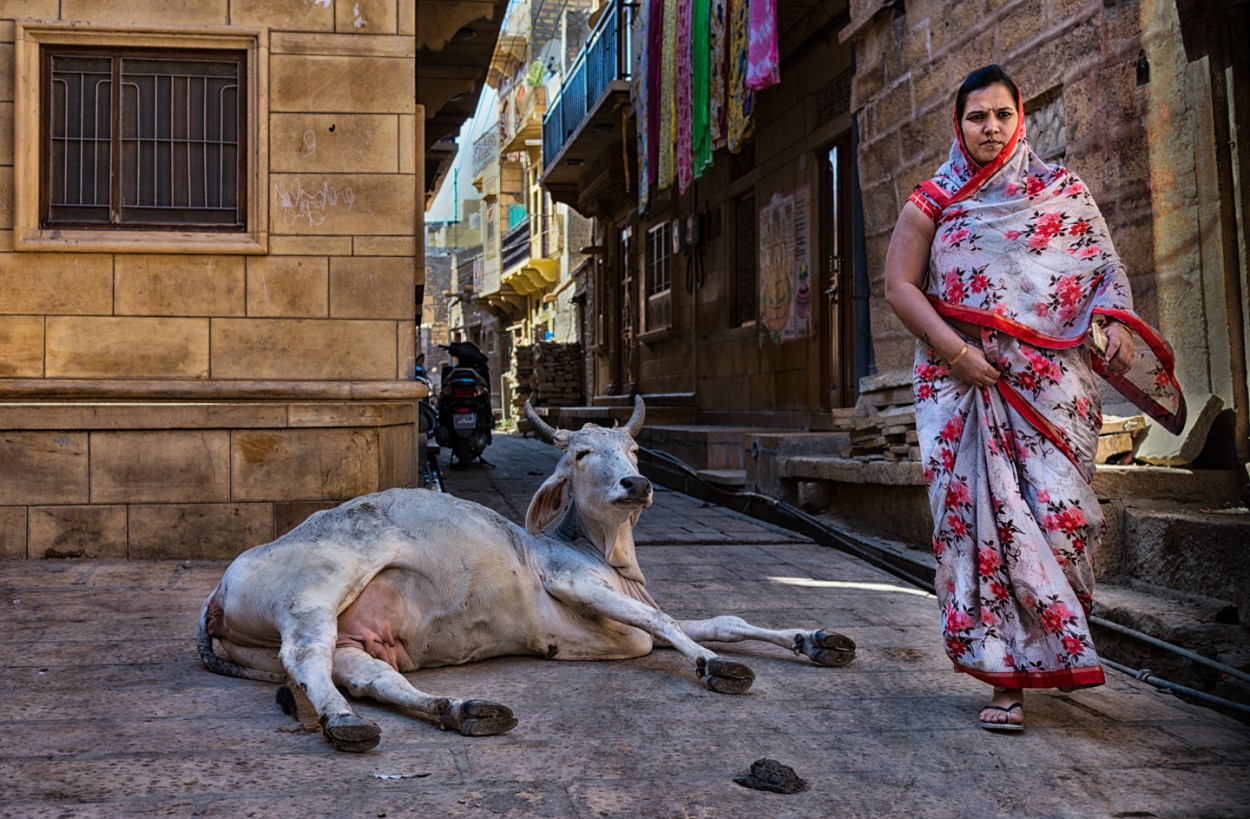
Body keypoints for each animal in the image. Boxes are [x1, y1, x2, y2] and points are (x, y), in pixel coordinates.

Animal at [197, 400, 860, 755]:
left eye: (634, 452)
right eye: (582, 455)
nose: (637, 484)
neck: (602, 554)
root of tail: (216, 594)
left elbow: (721, 618)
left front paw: (814, 640)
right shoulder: (575, 585)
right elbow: (661, 621)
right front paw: (713, 666)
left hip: (355, 640)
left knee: (370, 676)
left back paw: (464, 710)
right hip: (317, 592)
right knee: (307, 655)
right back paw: (344, 722)